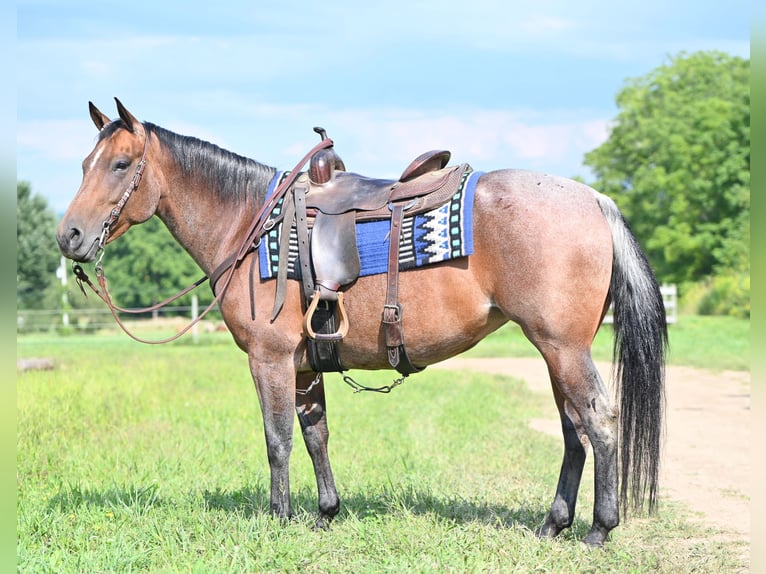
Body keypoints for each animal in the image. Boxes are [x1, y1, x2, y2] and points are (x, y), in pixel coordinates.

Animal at [56, 98, 667, 548]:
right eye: (84, 164)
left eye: (119, 164)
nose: (70, 238)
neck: (249, 223)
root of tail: (594, 200)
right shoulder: (304, 363)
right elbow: (315, 433)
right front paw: (325, 513)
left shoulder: (269, 358)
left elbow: (277, 438)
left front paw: (278, 519)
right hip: (555, 351)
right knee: (572, 430)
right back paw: (552, 525)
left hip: (563, 347)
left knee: (598, 421)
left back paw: (598, 529)